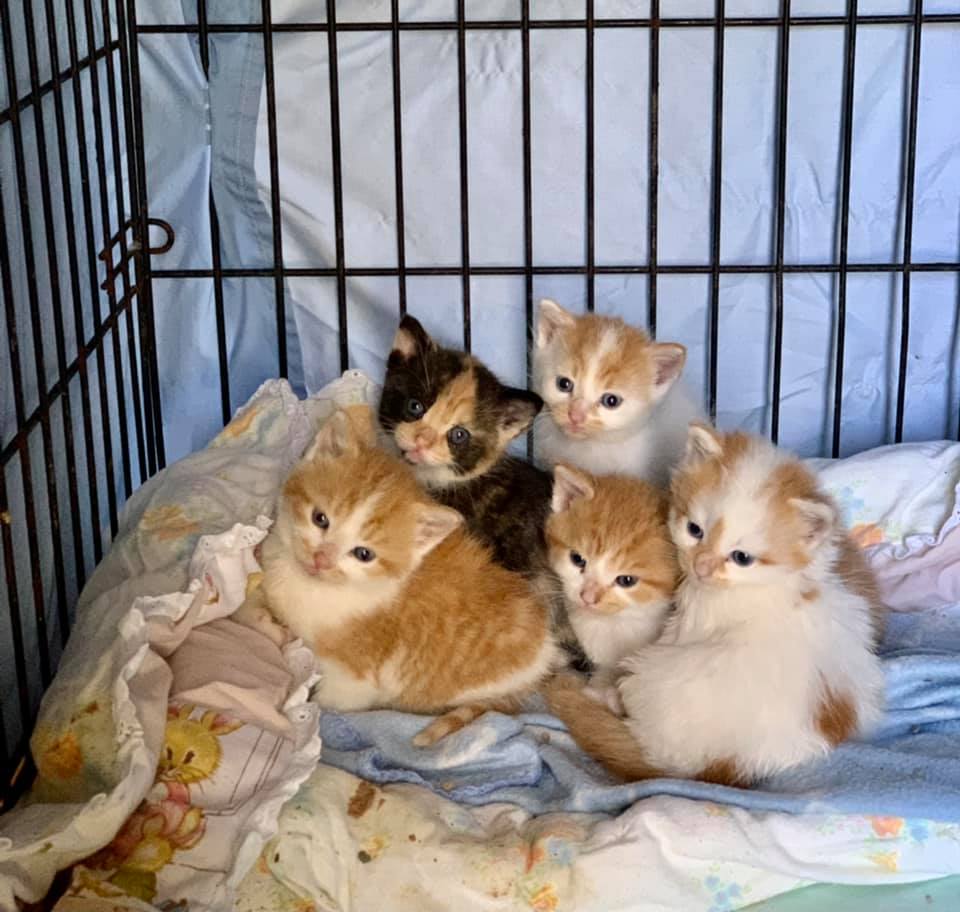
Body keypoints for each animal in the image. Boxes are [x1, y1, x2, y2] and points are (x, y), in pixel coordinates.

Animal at [548, 424, 884, 788]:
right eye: (695, 530)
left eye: (741, 557)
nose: (702, 566)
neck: (769, 582)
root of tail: (715, 768)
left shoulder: (685, 621)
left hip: (654, 674)